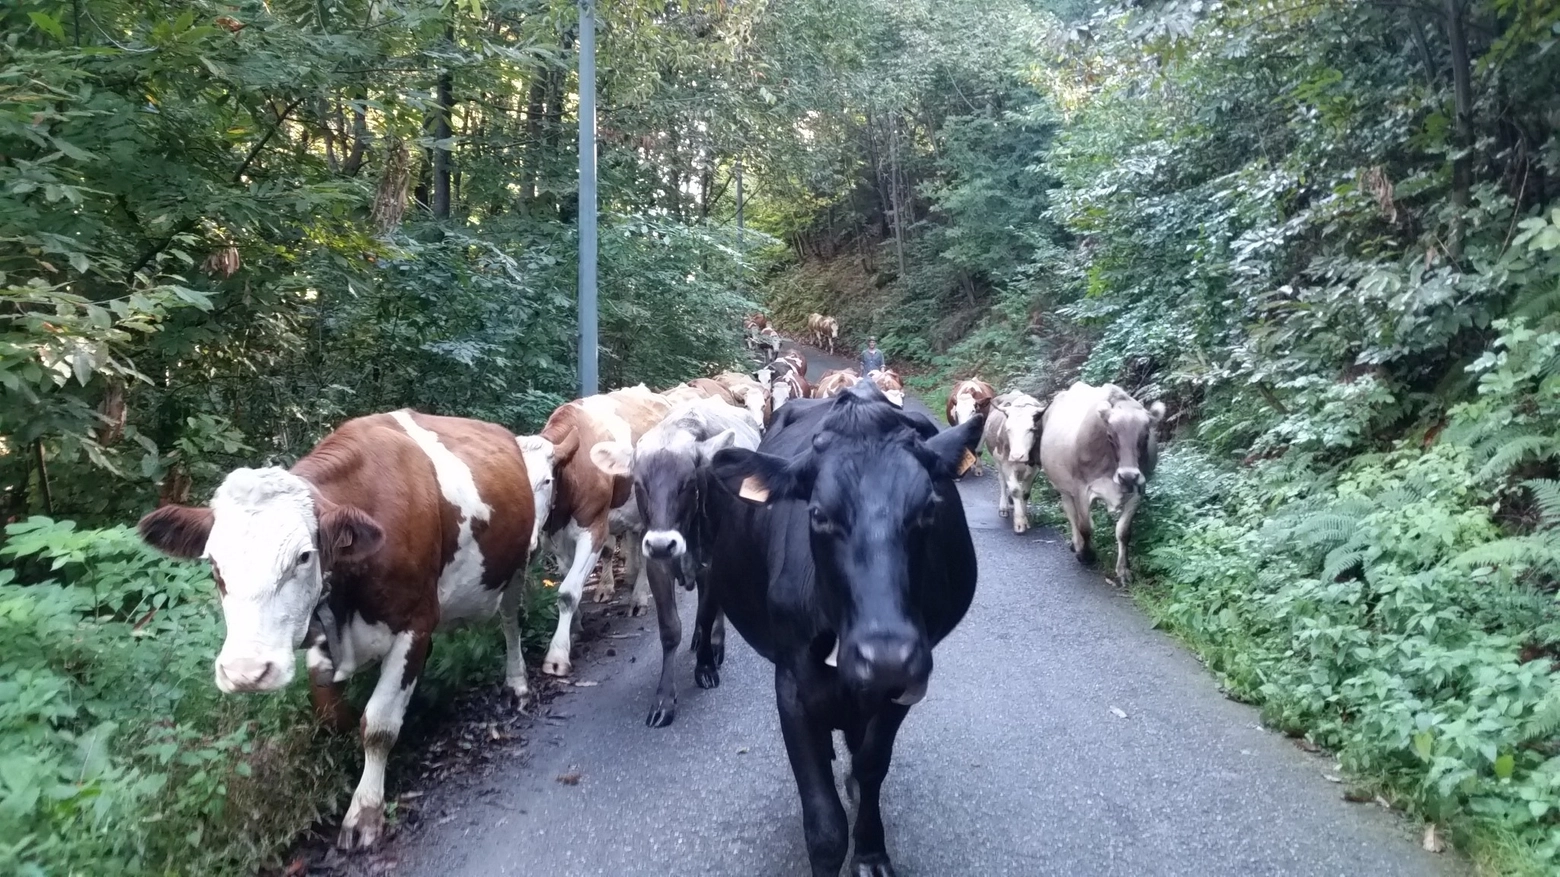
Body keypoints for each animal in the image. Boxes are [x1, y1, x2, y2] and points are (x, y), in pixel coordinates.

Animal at [141, 408, 542, 848]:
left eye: (303, 557)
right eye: (213, 564)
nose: (246, 672)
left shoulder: (416, 623)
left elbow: (379, 724)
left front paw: (365, 810)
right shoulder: (323, 634)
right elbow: (331, 712)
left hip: (517, 565)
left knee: (510, 622)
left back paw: (517, 681)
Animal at [711, 383, 979, 877]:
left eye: (928, 509)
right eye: (818, 514)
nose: (886, 657)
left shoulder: (904, 684)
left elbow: (872, 765)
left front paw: (870, 849)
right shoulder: (792, 685)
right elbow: (824, 821)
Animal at [985, 390, 1048, 533]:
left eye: (1031, 429)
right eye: (1008, 429)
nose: (1017, 456)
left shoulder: (1035, 467)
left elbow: (1025, 493)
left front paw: (1025, 518)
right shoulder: (1006, 464)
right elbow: (1015, 490)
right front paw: (1019, 522)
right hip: (997, 461)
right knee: (1002, 481)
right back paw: (1004, 507)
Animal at [1042, 380, 1166, 580]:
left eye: (1146, 435)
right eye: (1110, 435)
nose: (1128, 475)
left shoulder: (1138, 490)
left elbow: (1123, 532)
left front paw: (1123, 570)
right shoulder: (1081, 489)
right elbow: (1085, 526)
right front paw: (1086, 555)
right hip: (1062, 487)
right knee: (1070, 513)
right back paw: (1077, 544)